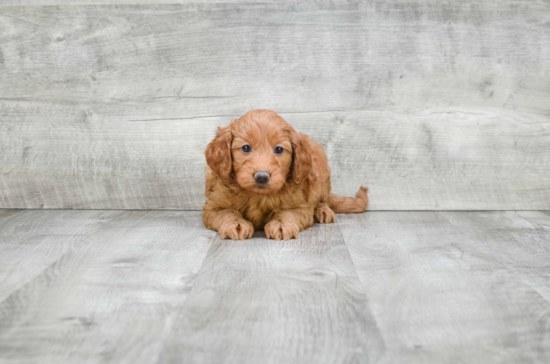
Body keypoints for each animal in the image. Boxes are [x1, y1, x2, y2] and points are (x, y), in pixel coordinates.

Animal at [204, 109, 370, 240]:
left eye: (279, 149)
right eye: (245, 148)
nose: (262, 176)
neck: (258, 196)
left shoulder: (301, 206)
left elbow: (288, 213)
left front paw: (281, 224)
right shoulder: (212, 207)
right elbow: (227, 212)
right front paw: (236, 224)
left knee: (323, 199)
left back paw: (322, 211)